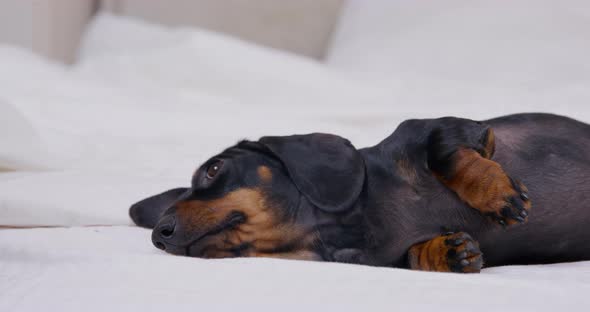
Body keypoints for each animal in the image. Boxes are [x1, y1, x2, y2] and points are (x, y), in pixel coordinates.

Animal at [130, 112, 590, 272]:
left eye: (213, 169)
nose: (159, 234)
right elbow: (415, 257)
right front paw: (449, 253)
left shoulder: (459, 129)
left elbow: (447, 154)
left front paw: (497, 194)